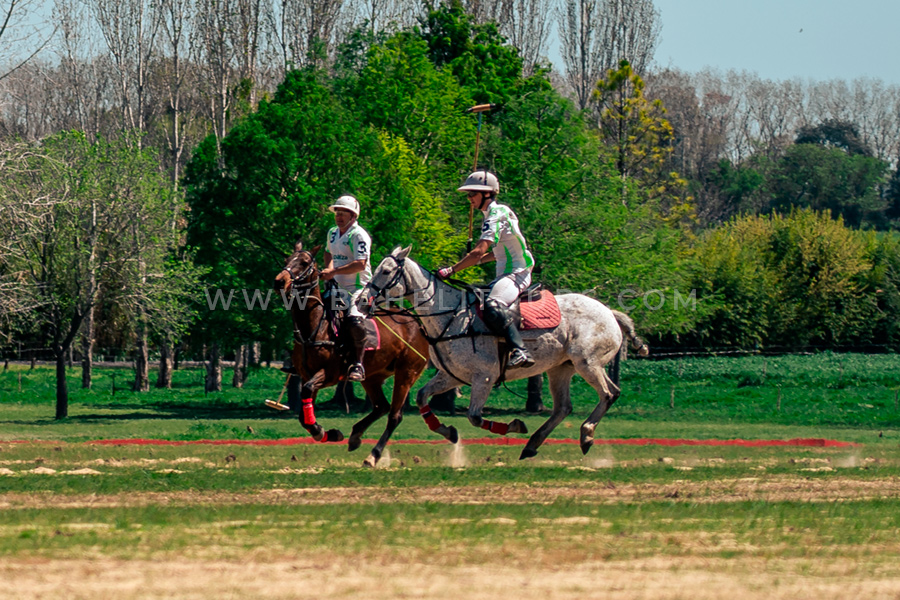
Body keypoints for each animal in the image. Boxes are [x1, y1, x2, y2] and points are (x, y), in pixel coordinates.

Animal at [274, 241, 432, 466]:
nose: (279, 281)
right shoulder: (306, 374)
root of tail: (418, 324)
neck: (314, 326)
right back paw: (355, 436)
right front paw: (329, 433)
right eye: (287, 259)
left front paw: (323, 431)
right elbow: (304, 414)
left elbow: (307, 392)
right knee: (381, 406)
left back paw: (373, 456)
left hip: (407, 372)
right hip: (373, 376)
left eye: (304, 262)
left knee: (394, 415)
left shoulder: (329, 374)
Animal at [358, 247, 648, 460]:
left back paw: (586, 434)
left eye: (386, 271)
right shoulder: (452, 376)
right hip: (561, 367)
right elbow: (421, 398)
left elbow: (475, 416)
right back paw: (532, 445)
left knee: (609, 393)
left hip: (587, 362)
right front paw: (448, 431)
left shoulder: (484, 377)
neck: (450, 317)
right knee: (564, 407)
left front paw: (514, 426)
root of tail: (610, 312)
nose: (361, 300)